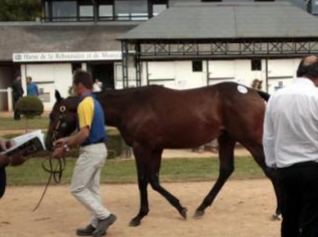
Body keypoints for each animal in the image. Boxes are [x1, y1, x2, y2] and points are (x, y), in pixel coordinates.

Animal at [46, 82, 280, 227]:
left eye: (55, 115)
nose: (50, 143)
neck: (130, 105)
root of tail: (252, 91)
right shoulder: (155, 149)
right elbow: (154, 180)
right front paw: (181, 208)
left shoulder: (141, 147)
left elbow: (143, 180)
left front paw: (139, 216)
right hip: (226, 138)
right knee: (226, 169)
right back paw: (201, 208)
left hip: (251, 140)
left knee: (270, 171)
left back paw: (278, 211)